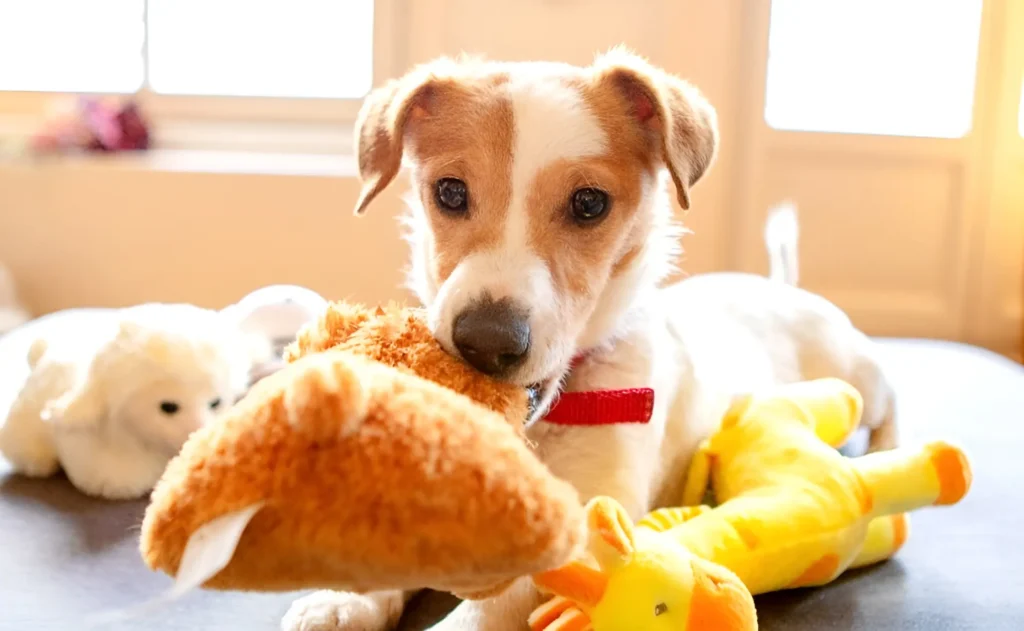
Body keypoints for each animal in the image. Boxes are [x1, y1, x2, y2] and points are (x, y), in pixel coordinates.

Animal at [282, 49, 897, 631]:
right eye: (450, 192)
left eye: (589, 203)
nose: (486, 343)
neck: (547, 420)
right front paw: (344, 600)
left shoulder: (595, 519)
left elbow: (493, 605)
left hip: (858, 374)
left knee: (889, 401)